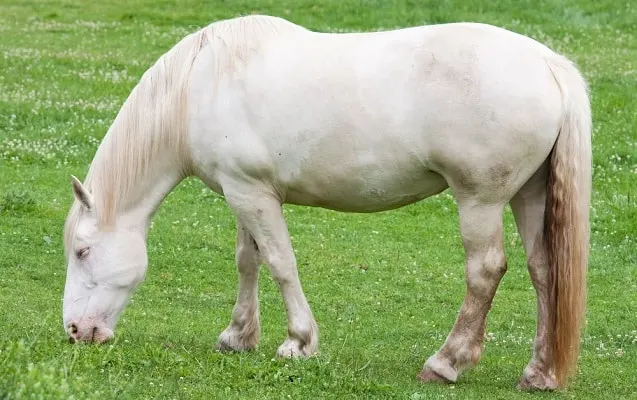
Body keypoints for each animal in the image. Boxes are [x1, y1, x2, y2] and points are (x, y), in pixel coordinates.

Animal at [63, 15, 592, 390]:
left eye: (83, 251)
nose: (75, 331)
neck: (202, 84)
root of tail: (548, 64)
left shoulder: (253, 195)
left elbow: (280, 263)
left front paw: (298, 342)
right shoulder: (242, 193)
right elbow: (248, 261)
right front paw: (238, 337)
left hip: (480, 201)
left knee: (485, 272)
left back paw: (446, 362)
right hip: (529, 195)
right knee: (544, 270)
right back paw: (539, 372)